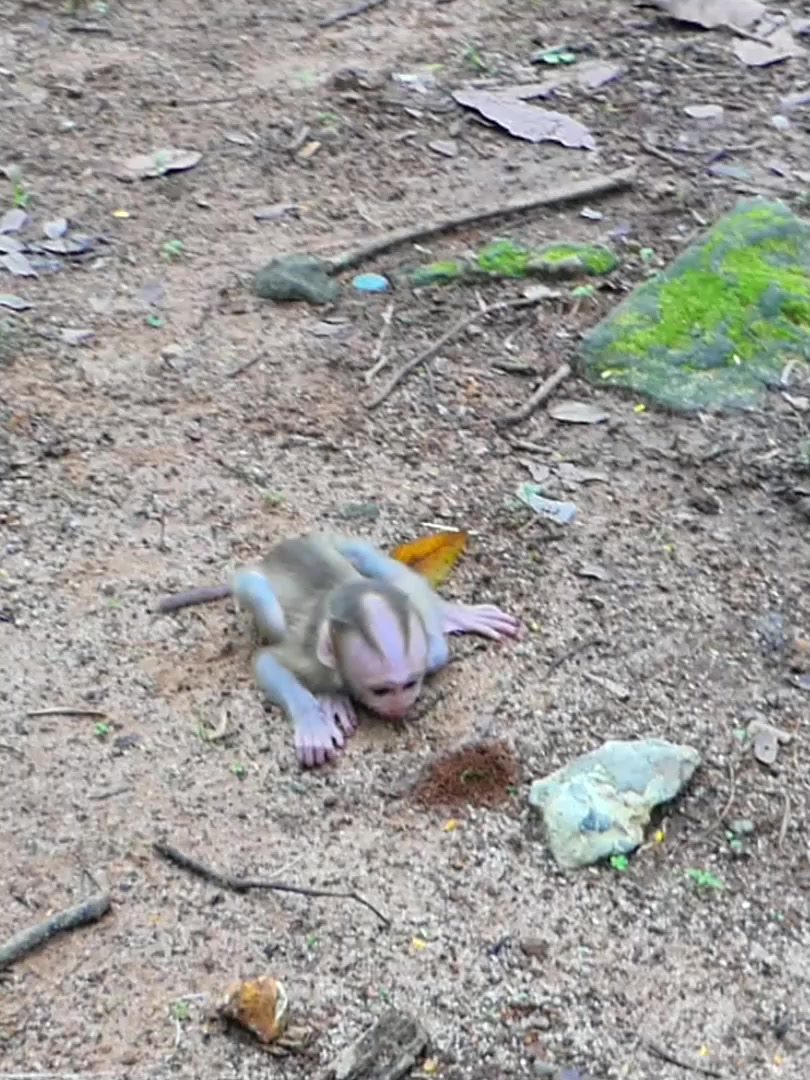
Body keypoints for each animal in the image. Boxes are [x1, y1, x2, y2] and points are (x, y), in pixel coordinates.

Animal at [157, 534, 519, 768]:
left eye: (410, 684)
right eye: (382, 690)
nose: (400, 705)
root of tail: (275, 552)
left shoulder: (427, 652)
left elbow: (437, 649)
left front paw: (449, 613)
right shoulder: (310, 661)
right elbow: (266, 661)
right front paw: (313, 721)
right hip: (251, 584)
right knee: (262, 601)